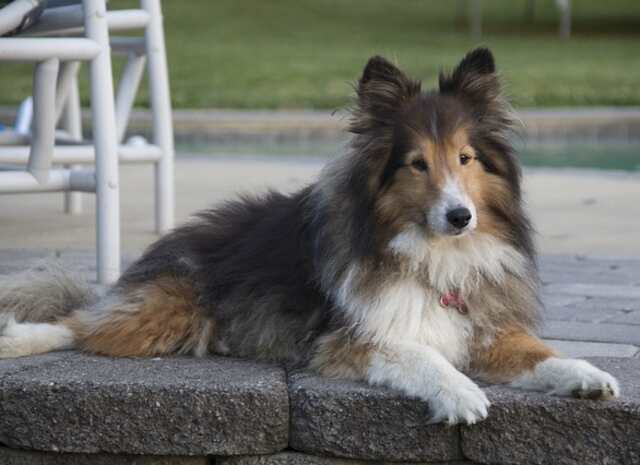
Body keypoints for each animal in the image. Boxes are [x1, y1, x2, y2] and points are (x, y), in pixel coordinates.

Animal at [0, 48, 620, 424]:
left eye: (466, 158)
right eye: (417, 163)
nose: (460, 217)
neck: (431, 255)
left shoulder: (486, 326)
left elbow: (542, 354)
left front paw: (589, 375)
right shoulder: (355, 337)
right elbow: (423, 355)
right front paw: (462, 393)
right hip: (167, 312)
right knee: (77, 323)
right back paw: (21, 340)